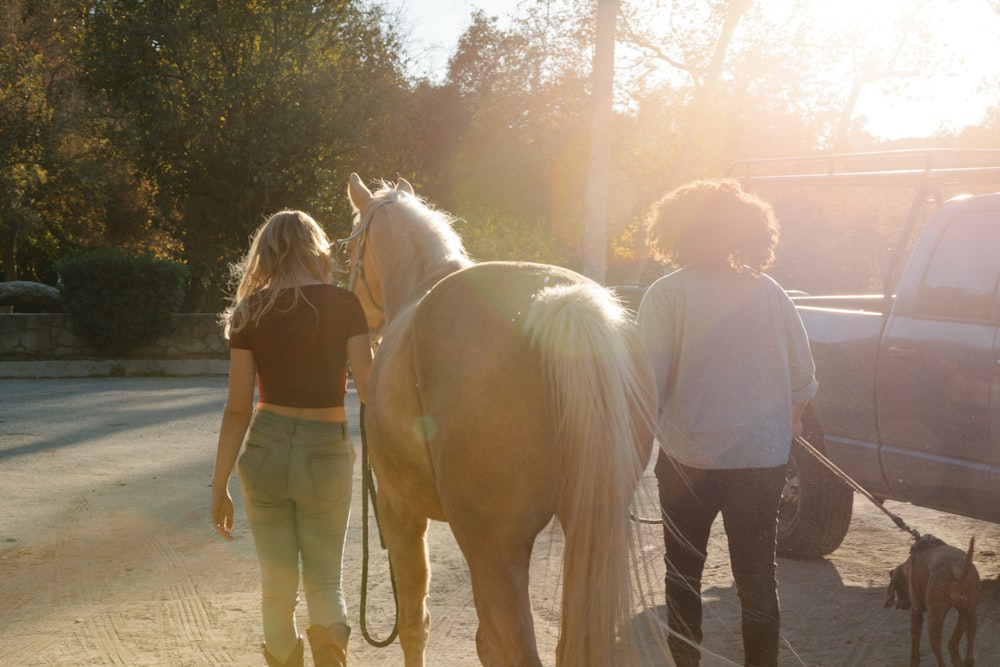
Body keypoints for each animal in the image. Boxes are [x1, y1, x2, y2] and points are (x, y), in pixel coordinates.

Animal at [346, 175, 664, 664]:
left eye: (349, 250)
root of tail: (558, 303)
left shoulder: (399, 510)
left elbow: (414, 624)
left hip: (494, 549)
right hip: (587, 527)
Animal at [884, 532, 976, 667]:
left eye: (899, 588)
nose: (900, 605)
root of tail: (956, 566)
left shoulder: (916, 612)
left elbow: (914, 644)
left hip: (933, 622)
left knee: (941, 660)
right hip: (969, 616)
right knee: (965, 654)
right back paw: (958, 659)